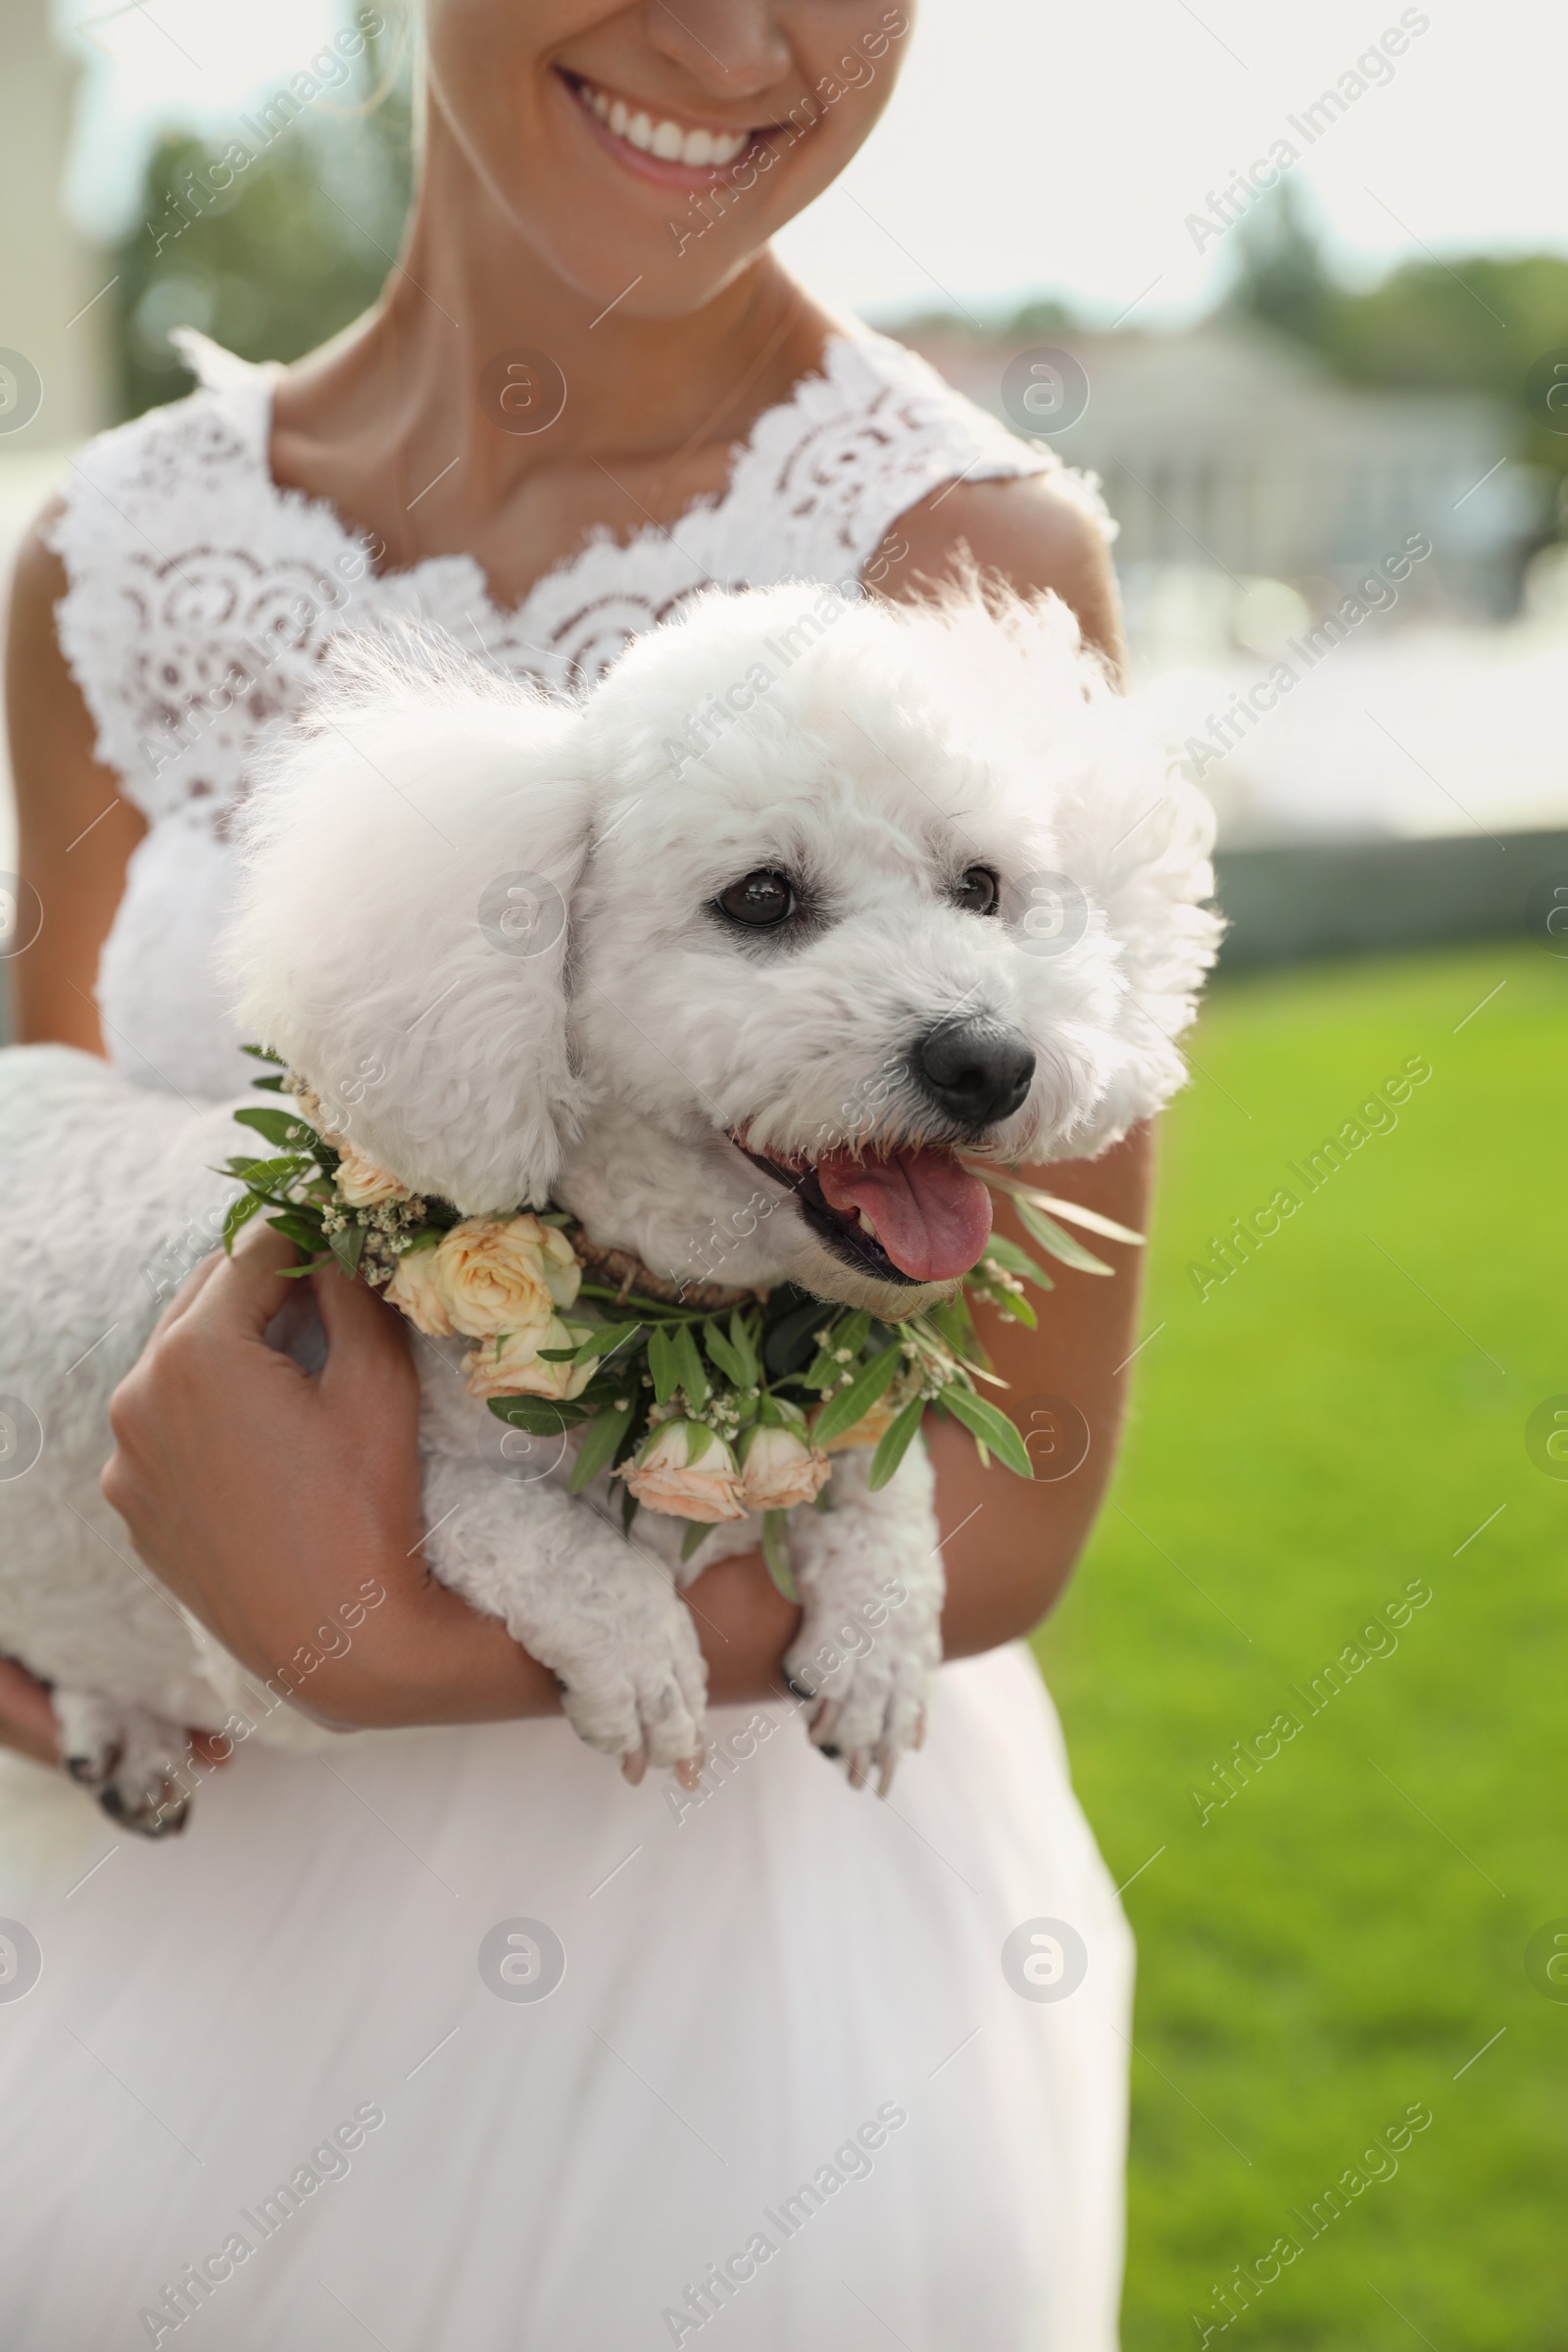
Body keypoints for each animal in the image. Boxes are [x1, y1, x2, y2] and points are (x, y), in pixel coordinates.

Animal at [0, 578, 1212, 1825]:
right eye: (762, 896)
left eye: (981, 888)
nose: (989, 1062)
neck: (673, 1306)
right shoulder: (302, 1566)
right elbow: (528, 1532)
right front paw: (638, 1663)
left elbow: (885, 1484)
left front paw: (877, 1651)